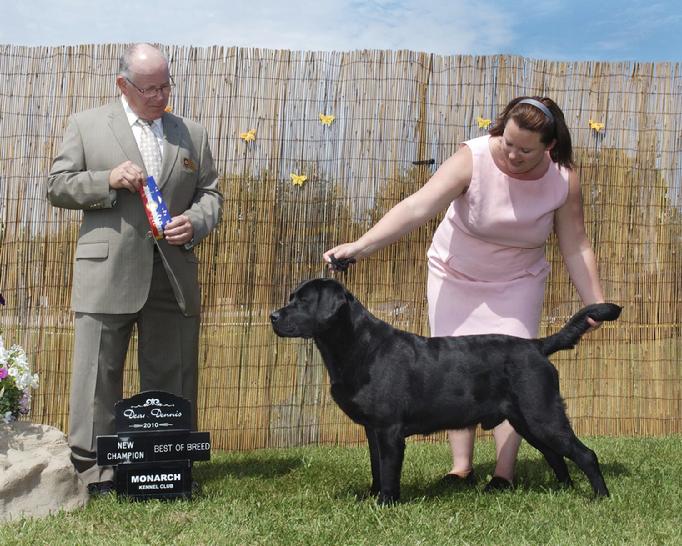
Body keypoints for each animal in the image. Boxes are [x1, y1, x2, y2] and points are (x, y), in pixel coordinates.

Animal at [268, 276, 620, 502]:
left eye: (303, 301)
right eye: (291, 297)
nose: (272, 316)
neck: (359, 346)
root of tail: (537, 345)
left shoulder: (389, 430)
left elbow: (389, 471)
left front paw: (385, 503)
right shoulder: (373, 429)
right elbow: (376, 467)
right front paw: (369, 498)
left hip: (542, 413)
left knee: (585, 454)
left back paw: (600, 498)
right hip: (528, 421)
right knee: (556, 456)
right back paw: (564, 491)